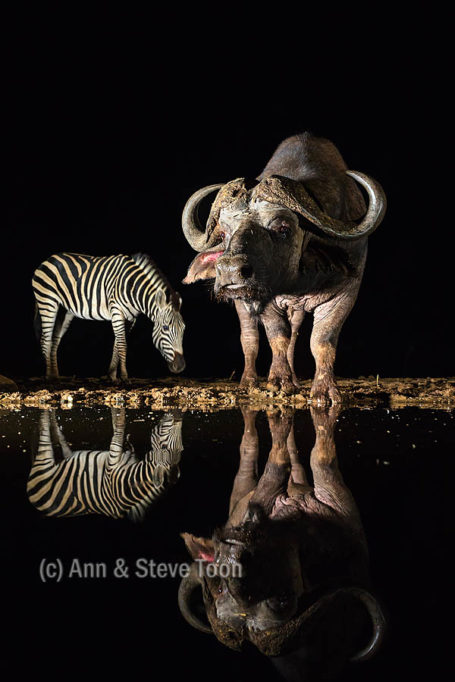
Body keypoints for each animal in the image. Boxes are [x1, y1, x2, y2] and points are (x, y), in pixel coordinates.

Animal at [27, 408, 184, 522]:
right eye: (181, 449)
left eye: (165, 447)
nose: (177, 415)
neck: (129, 479)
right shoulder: (122, 455)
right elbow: (118, 429)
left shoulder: (112, 462)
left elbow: (119, 429)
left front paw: (118, 406)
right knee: (63, 445)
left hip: (43, 461)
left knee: (45, 432)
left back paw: (46, 407)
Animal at [32, 252, 185, 380]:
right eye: (165, 328)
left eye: (183, 329)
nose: (181, 366)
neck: (132, 287)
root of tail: (49, 259)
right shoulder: (117, 311)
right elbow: (122, 344)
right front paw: (124, 377)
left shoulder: (130, 319)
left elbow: (117, 345)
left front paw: (111, 375)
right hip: (48, 301)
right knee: (46, 338)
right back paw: (48, 376)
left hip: (64, 311)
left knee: (55, 339)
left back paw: (55, 375)